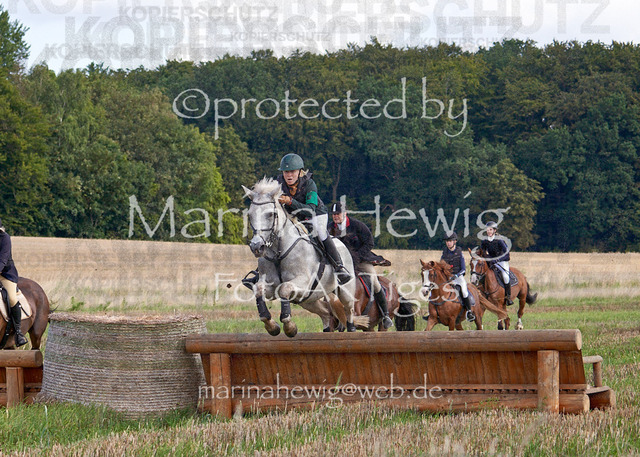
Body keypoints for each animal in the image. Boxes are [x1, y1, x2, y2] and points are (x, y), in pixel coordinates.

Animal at [243, 178, 363, 337]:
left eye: (270, 214)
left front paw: (289, 327)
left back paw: (351, 329)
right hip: (308, 299)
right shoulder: (271, 286)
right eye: (250, 215)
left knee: (349, 310)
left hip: (344, 291)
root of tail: (341, 243)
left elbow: (284, 288)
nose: (257, 247)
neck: (278, 252)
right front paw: (272, 326)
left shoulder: (304, 282)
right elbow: (259, 289)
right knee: (325, 313)